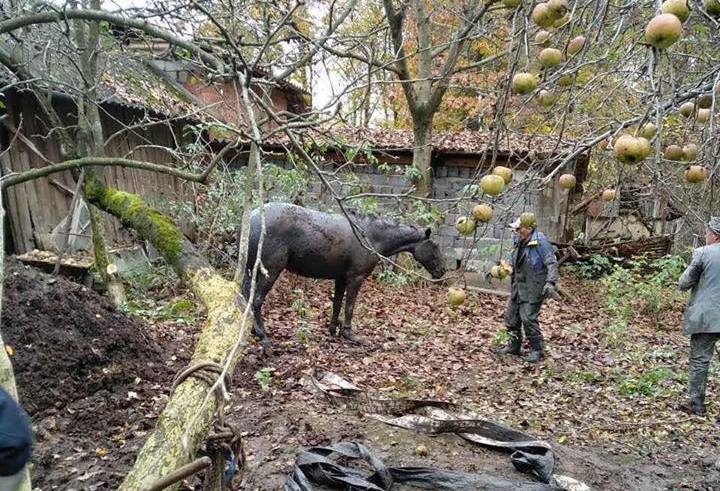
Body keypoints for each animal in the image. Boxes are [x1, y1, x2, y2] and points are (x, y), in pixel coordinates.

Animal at [242, 203, 444, 346]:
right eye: (434, 246)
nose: (442, 271)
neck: (371, 236)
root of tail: (253, 218)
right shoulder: (355, 278)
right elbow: (349, 307)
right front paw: (348, 334)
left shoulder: (340, 279)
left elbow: (337, 304)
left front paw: (333, 330)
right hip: (270, 272)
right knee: (257, 300)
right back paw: (262, 334)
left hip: (251, 271)